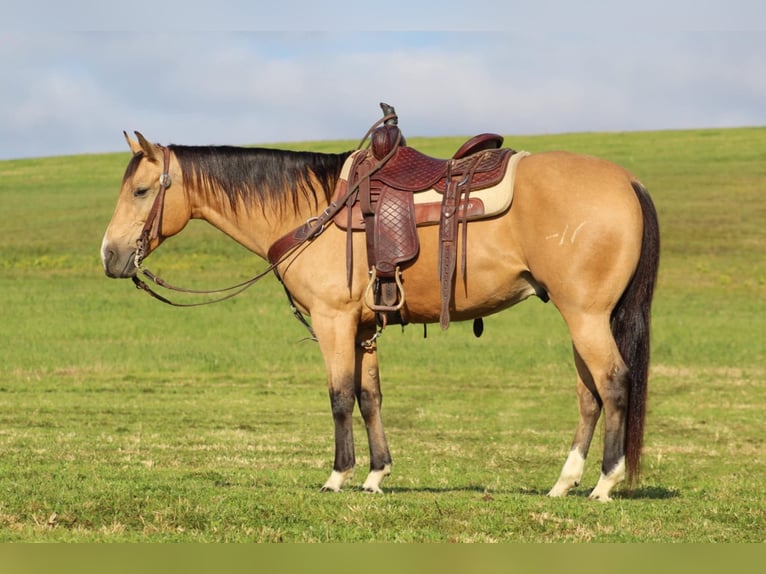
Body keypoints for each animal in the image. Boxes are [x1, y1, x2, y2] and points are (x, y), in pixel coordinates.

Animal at [102, 106, 660, 502]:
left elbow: (339, 396)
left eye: (142, 190)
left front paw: (337, 476)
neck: (314, 211)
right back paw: (564, 482)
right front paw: (376, 475)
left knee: (613, 383)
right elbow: (370, 397)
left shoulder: (332, 320)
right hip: (582, 318)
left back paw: (604, 484)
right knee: (588, 395)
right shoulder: (364, 327)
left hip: (586, 316)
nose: (109, 255)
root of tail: (628, 182)